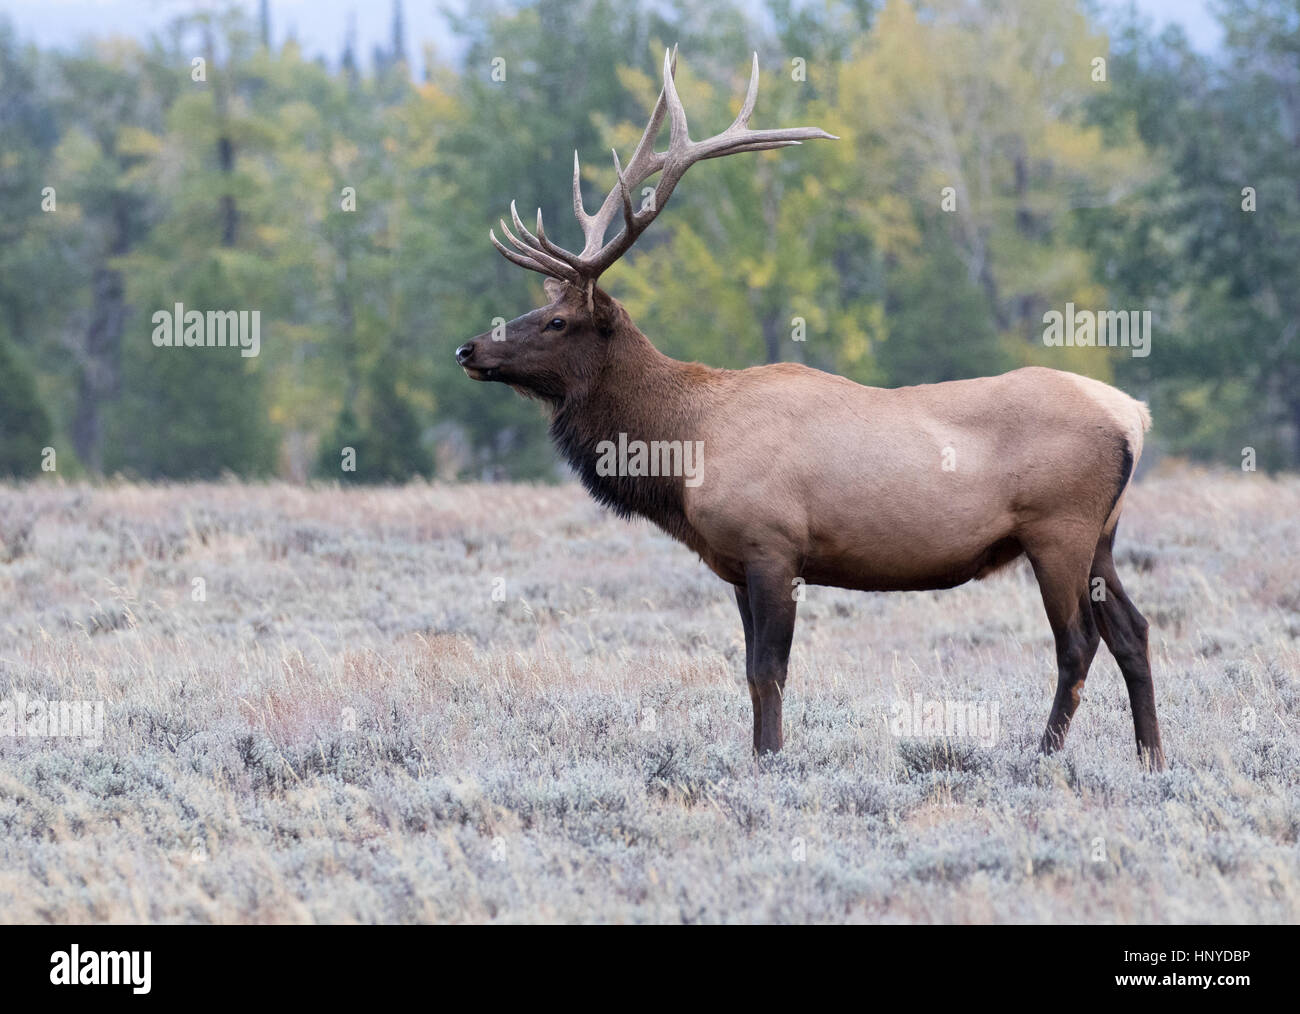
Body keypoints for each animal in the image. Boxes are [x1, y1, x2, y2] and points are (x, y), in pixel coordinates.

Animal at [457, 49, 1170, 769]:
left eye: (558, 320)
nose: (469, 347)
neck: (683, 447)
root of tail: (1134, 414)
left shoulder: (772, 545)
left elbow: (769, 671)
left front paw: (772, 760)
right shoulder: (738, 566)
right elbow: (750, 672)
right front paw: (758, 757)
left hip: (1059, 528)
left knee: (1078, 643)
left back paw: (1043, 756)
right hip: (1100, 536)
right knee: (1133, 632)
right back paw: (1152, 760)